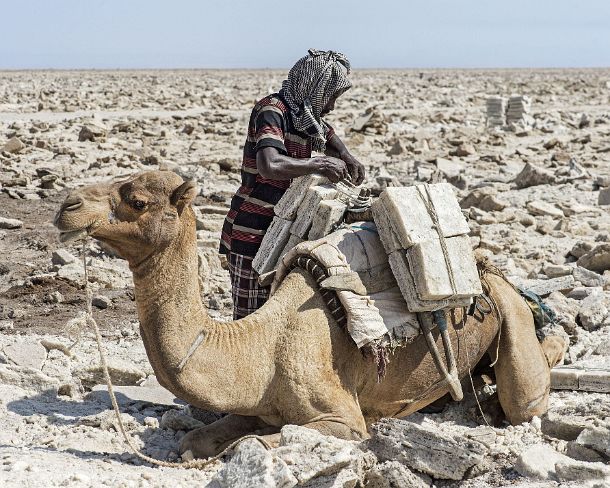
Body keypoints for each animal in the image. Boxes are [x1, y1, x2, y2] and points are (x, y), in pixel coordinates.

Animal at [54, 171, 564, 458]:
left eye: (137, 201)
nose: (67, 206)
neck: (262, 347)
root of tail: (489, 268)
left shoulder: (343, 420)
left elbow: (255, 444)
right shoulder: (257, 405)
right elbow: (194, 440)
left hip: (510, 315)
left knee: (525, 396)